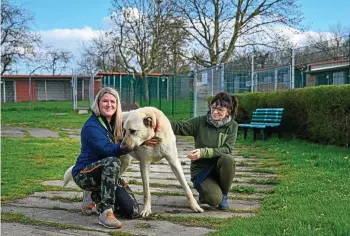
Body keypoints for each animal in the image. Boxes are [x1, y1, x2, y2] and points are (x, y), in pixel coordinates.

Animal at [64, 107, 204, 218]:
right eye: (124, 131)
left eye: (132, 131)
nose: (122, 147)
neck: (155, 134)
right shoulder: (144, 164)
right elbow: (147, 192)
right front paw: (146, 210)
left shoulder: (173, 162)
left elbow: (186, 187)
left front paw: (194, 206)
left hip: (124, 163)